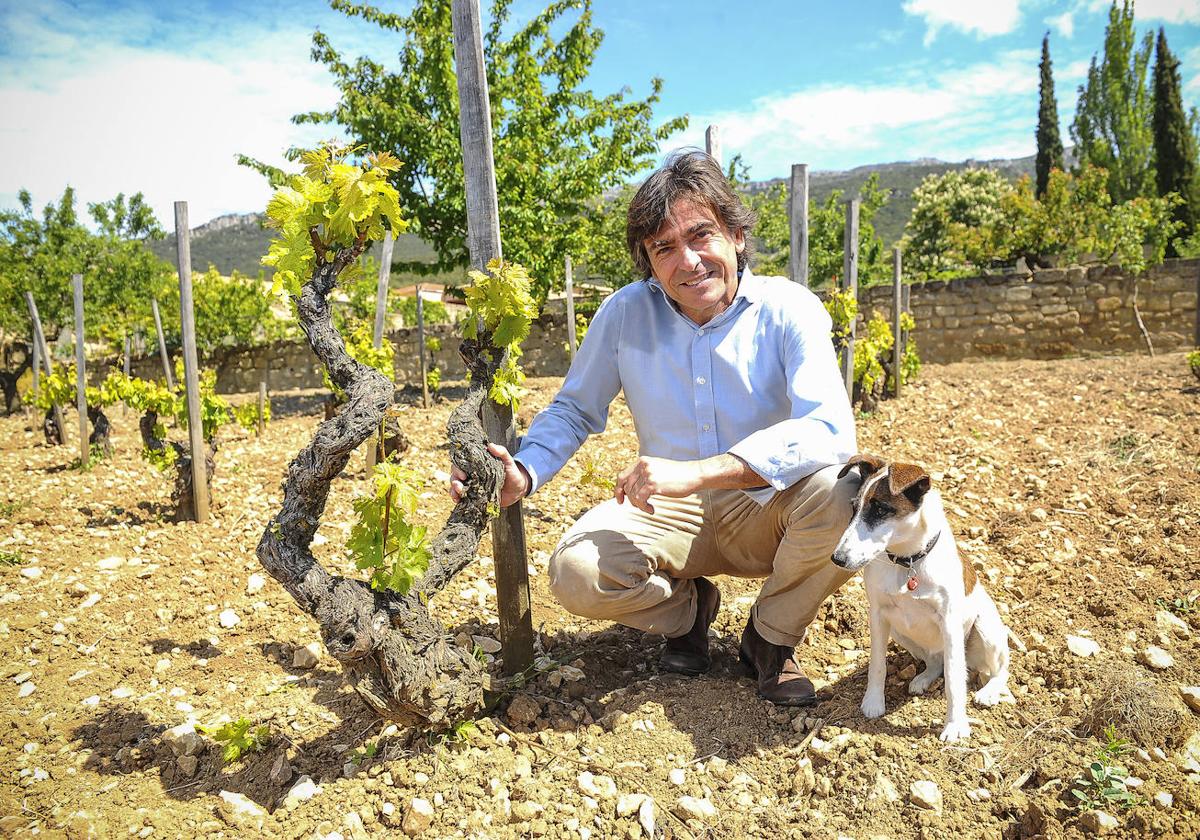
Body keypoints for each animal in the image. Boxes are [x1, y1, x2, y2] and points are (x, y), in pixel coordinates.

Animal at [835, 456, 1012, 739]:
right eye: (854, 508)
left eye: (881, 509)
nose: (837, 558)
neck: (907, 561)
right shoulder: (878, 615)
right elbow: (877, 665)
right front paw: (873, 702)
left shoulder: (950, 623)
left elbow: (954, 679)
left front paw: (955, 725)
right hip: (901, 631)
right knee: (936, 661)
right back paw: (923, 678)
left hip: (985, 629)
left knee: (1000, 669)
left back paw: (989, 691)